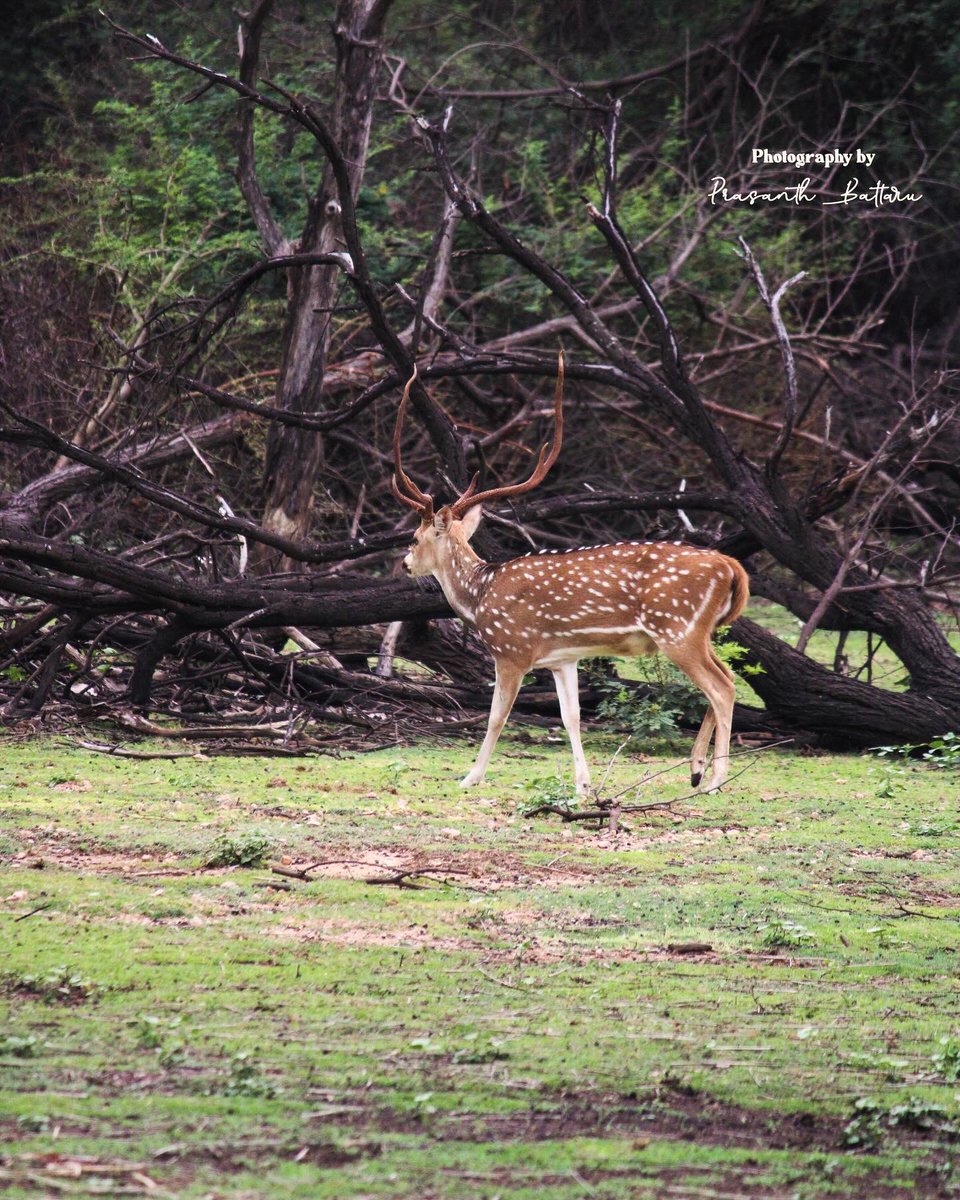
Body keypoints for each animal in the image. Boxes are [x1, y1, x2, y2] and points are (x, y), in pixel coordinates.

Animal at [392, 352, 749, 796]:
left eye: (414, 536)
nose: (405, 564)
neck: (479, 597)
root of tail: (731, 567)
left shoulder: (512, 650)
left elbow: (496, 717)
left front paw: (470, 777)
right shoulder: (562, 658)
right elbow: (571, 716)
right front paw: (584, 784)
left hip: (677, 628)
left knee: (722, 687)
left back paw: (714, 779)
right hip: (701, 630)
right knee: (726, 676)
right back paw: (696, 769)